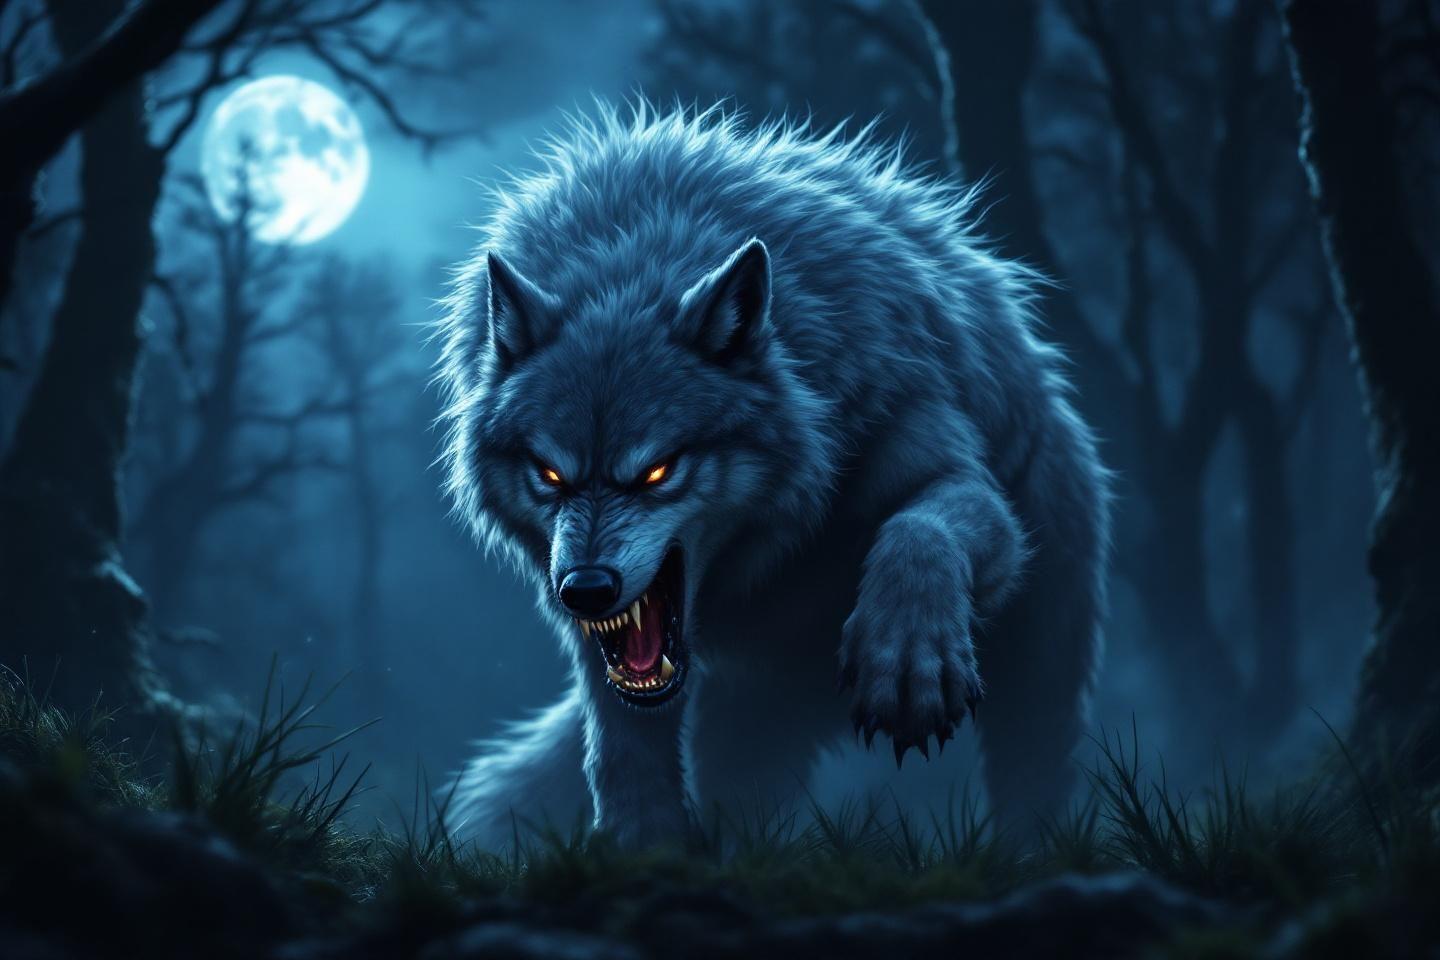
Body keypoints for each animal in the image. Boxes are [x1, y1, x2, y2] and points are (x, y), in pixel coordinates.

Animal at [434, 104, 1110, 849]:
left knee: (1032, 781)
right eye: (551, 475)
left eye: (659, 470)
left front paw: (908, 657)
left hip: (1038, 671)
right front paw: (643, 846)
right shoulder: (600, 648)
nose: (585, 589)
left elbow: (919, 528)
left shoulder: (954, 474)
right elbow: (620, 744)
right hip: (748, 725)